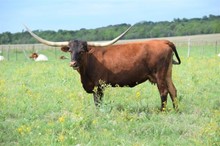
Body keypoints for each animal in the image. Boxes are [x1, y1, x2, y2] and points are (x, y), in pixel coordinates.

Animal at [24, 25, 181, 110]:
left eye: (82, 51)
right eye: (70, 50)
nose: (73, 63)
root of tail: (164, 42)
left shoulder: (99, 85)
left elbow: (98, 102)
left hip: (159, 75)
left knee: (164, 92)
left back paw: (162, 111)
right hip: (167, 73)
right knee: (173, 90)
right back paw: (176, 110)